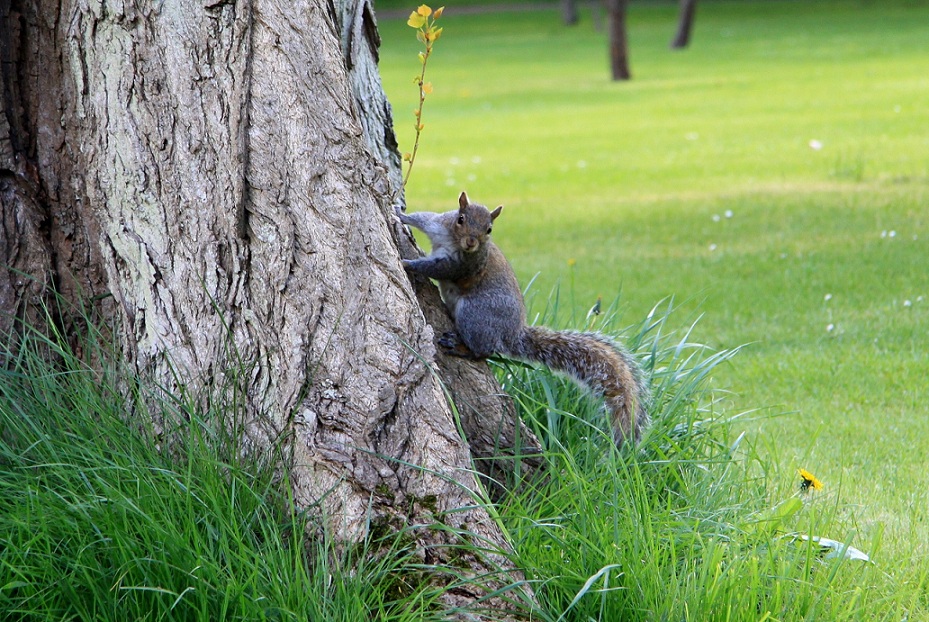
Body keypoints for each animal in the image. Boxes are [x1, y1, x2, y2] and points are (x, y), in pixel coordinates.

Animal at [396, 193, 648, 446]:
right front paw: (400, 213)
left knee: (483, 350)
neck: (454, 242)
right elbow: (423, 218)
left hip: (474, 314)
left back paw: (460, 346)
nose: (471, 242)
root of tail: (512, 333)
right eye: (460, 219)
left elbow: (438, 268)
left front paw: (408, 263)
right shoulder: (439, 225)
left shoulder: (461, 265)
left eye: (489, 229)